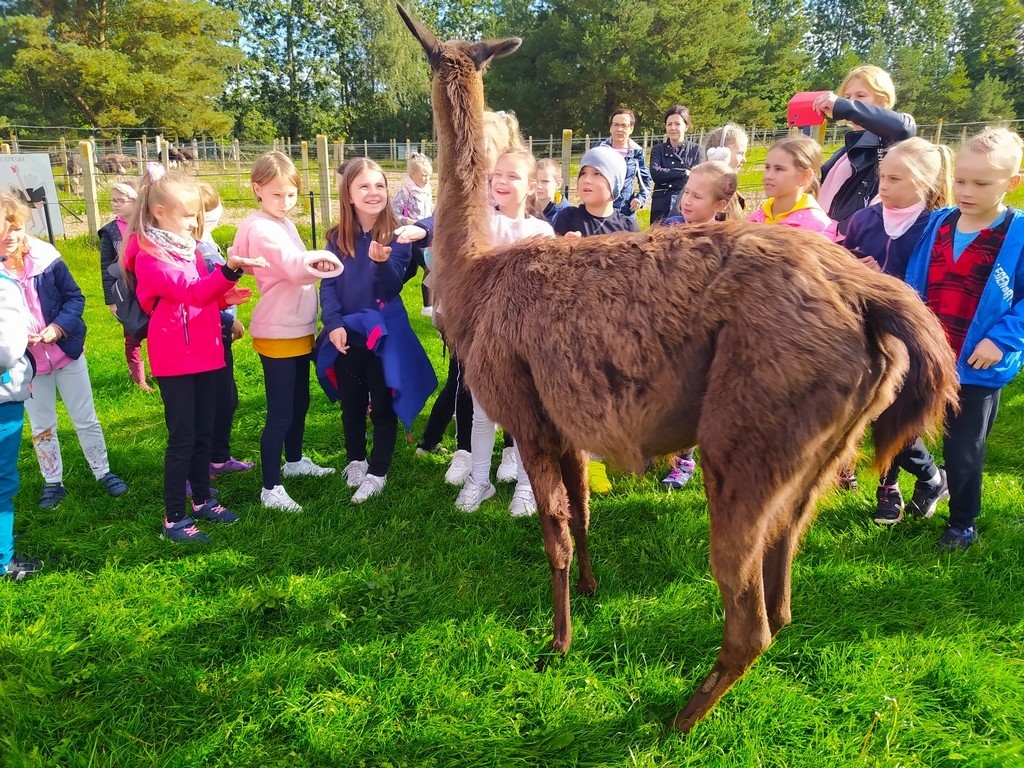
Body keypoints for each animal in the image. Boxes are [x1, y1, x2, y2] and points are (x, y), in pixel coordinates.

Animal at [396, 4, 959, 732]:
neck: (473, 278)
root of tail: (870, 294)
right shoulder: (568, 421)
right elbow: (583, 512)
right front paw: (593, 591)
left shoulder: (527, 413)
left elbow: (555, 534)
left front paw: (557, 644)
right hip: (821, 452)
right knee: (782, 594)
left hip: (746, 437)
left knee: (751, 616)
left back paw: (677, 720)